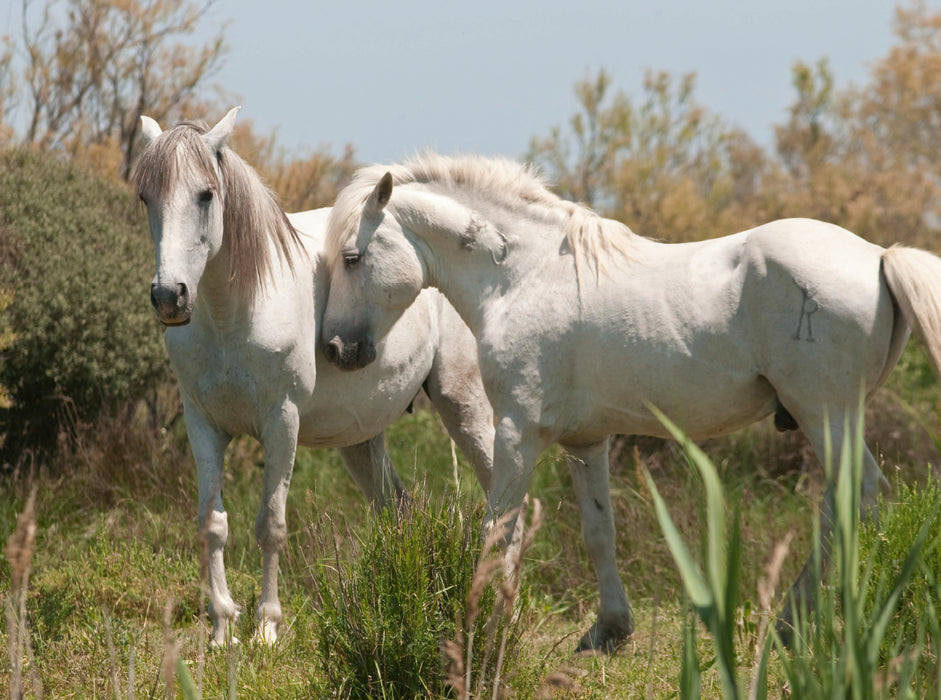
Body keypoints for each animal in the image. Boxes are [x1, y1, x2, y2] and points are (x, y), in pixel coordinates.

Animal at [136, 113, 496, 644]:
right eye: (146, 198)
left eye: (205, 195)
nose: (169, 297)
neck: (232, 314)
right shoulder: (203, 425)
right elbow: (213, 524)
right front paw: (222, 627)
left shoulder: (281, 422)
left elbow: (271, 525)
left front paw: (266, 628)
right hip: (362, 439)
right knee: (397, 509)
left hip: (464, 406)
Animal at [318, 150, 941, 652]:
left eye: (351, 258)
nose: (337, 348)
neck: (523, 276)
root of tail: (879, 255)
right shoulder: (585, 442)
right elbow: (599, 531)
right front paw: (608, 631)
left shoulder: (517, 429)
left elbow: (501, 527)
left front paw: (481, 627)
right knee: (850, 503)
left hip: (825, 414)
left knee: (857, 498)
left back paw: (797, 623)